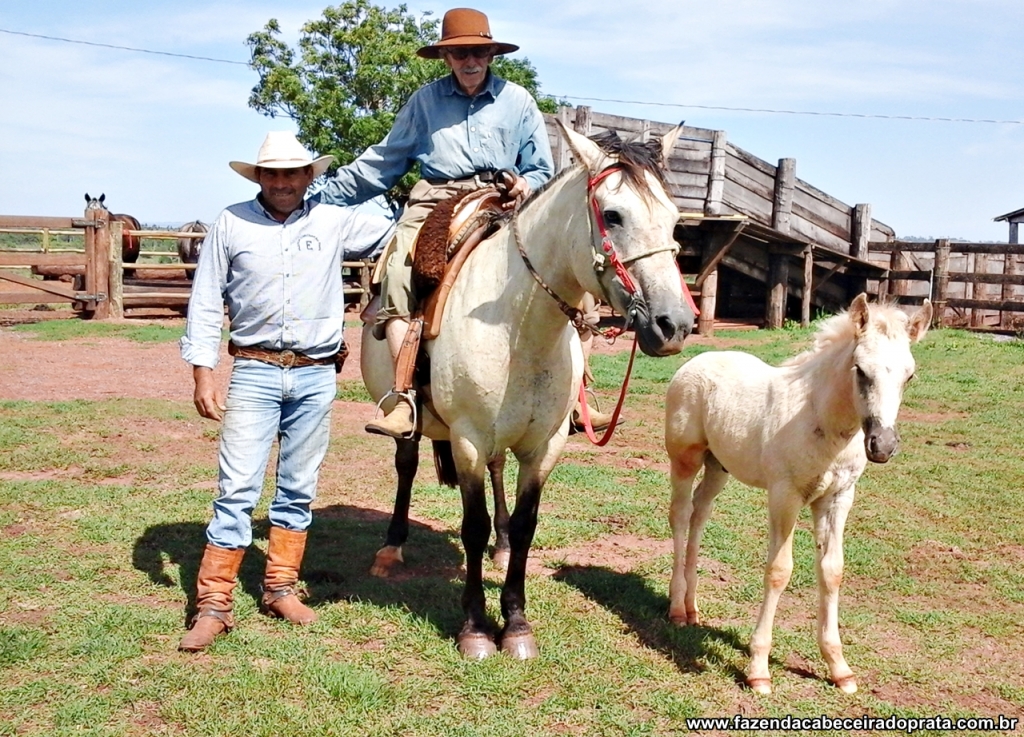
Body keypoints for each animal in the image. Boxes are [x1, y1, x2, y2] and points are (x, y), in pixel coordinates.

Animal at [362, 123, 696, 659]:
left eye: (673, 218)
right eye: (612, 214)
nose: (675, 324)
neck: (519, 328)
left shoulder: (545, 444)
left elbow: (525, 525)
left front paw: (516, 624)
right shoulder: (468, 440)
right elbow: (471, 526)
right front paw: (477, 629)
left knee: (498, 474)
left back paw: (497, 550)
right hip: (414, 422)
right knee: (407, 464)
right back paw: (392, 547)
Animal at [667, 292, 933, 691]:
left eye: (910, 375)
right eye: (860, 370)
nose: (883, 445)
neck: (822, 420)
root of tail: (697, 360)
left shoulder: (838, 498)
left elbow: (832, 570)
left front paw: (839, 668)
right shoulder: (785, 495)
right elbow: (779, 570)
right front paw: (758, 669)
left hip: (719, 467)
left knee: (701, 512)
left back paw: (692, 606)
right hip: (685, 459)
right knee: (681, 515)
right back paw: (675, 608)